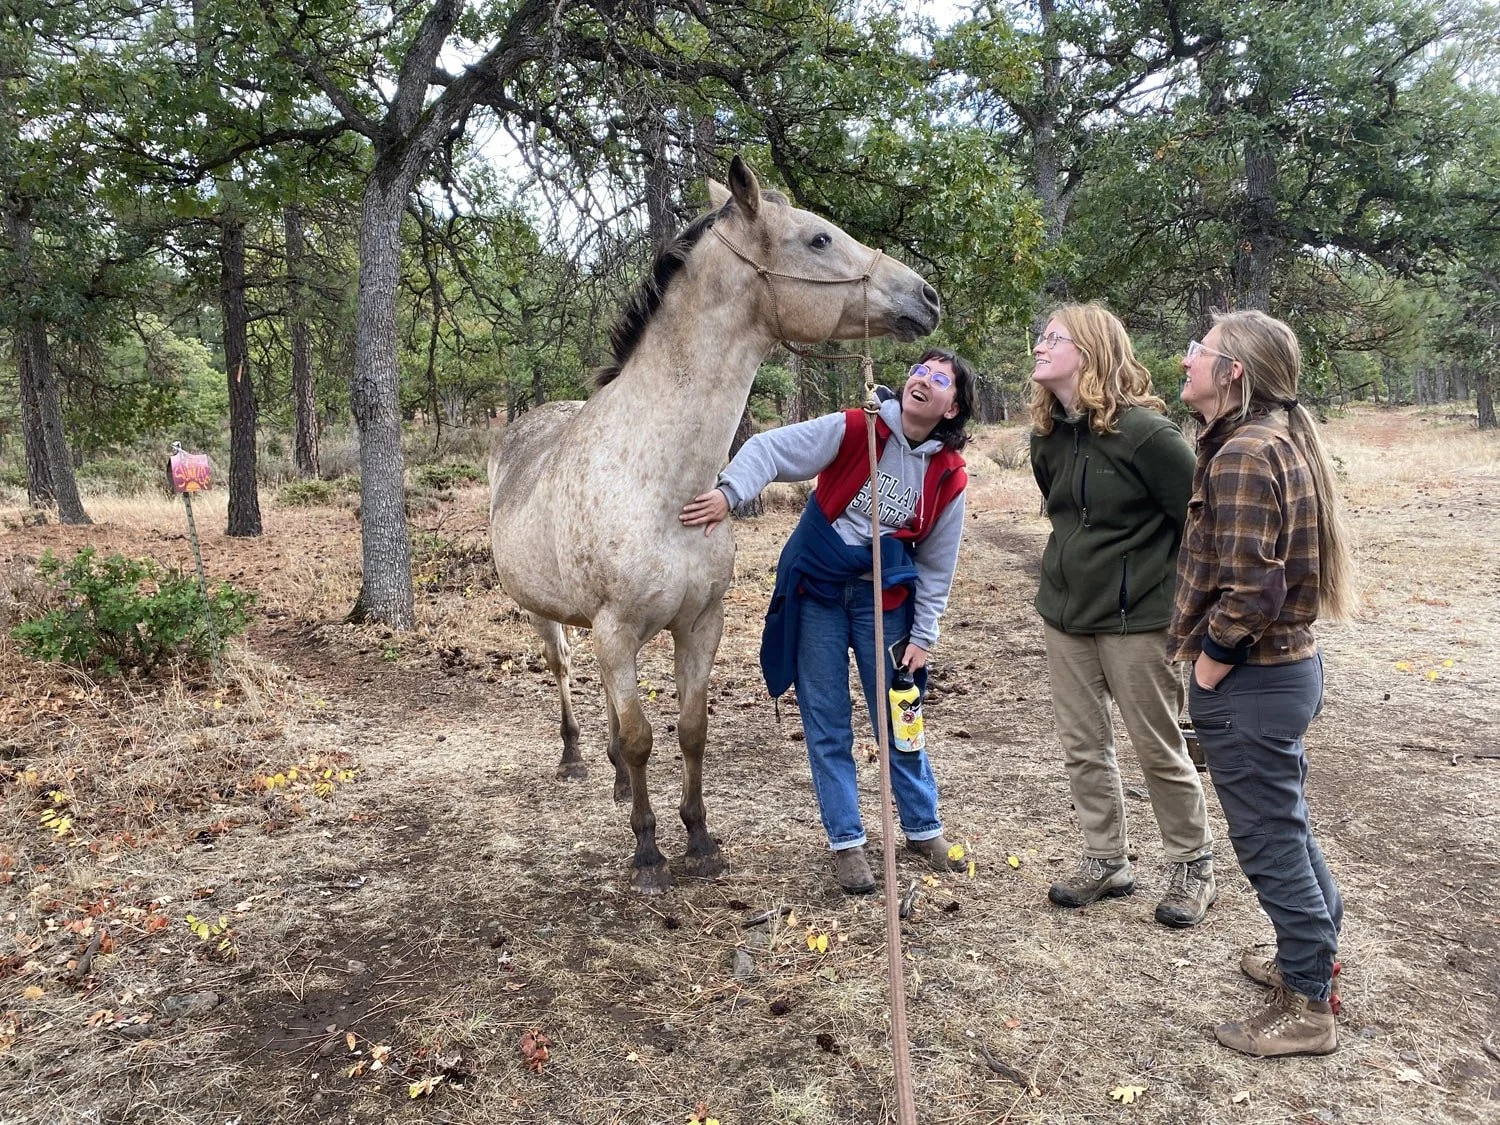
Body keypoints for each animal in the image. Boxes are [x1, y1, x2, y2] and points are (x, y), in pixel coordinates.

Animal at [487, 155, 940, 892]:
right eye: (818, 238)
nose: (926, 296)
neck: (661, 481)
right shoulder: (617, 629)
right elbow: (642, 737)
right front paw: (648, 851)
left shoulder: (700, 623)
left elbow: (691, 730)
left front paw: (699, 838)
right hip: (545, 616)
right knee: (564, 673)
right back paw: (577, 758)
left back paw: (615, 779)